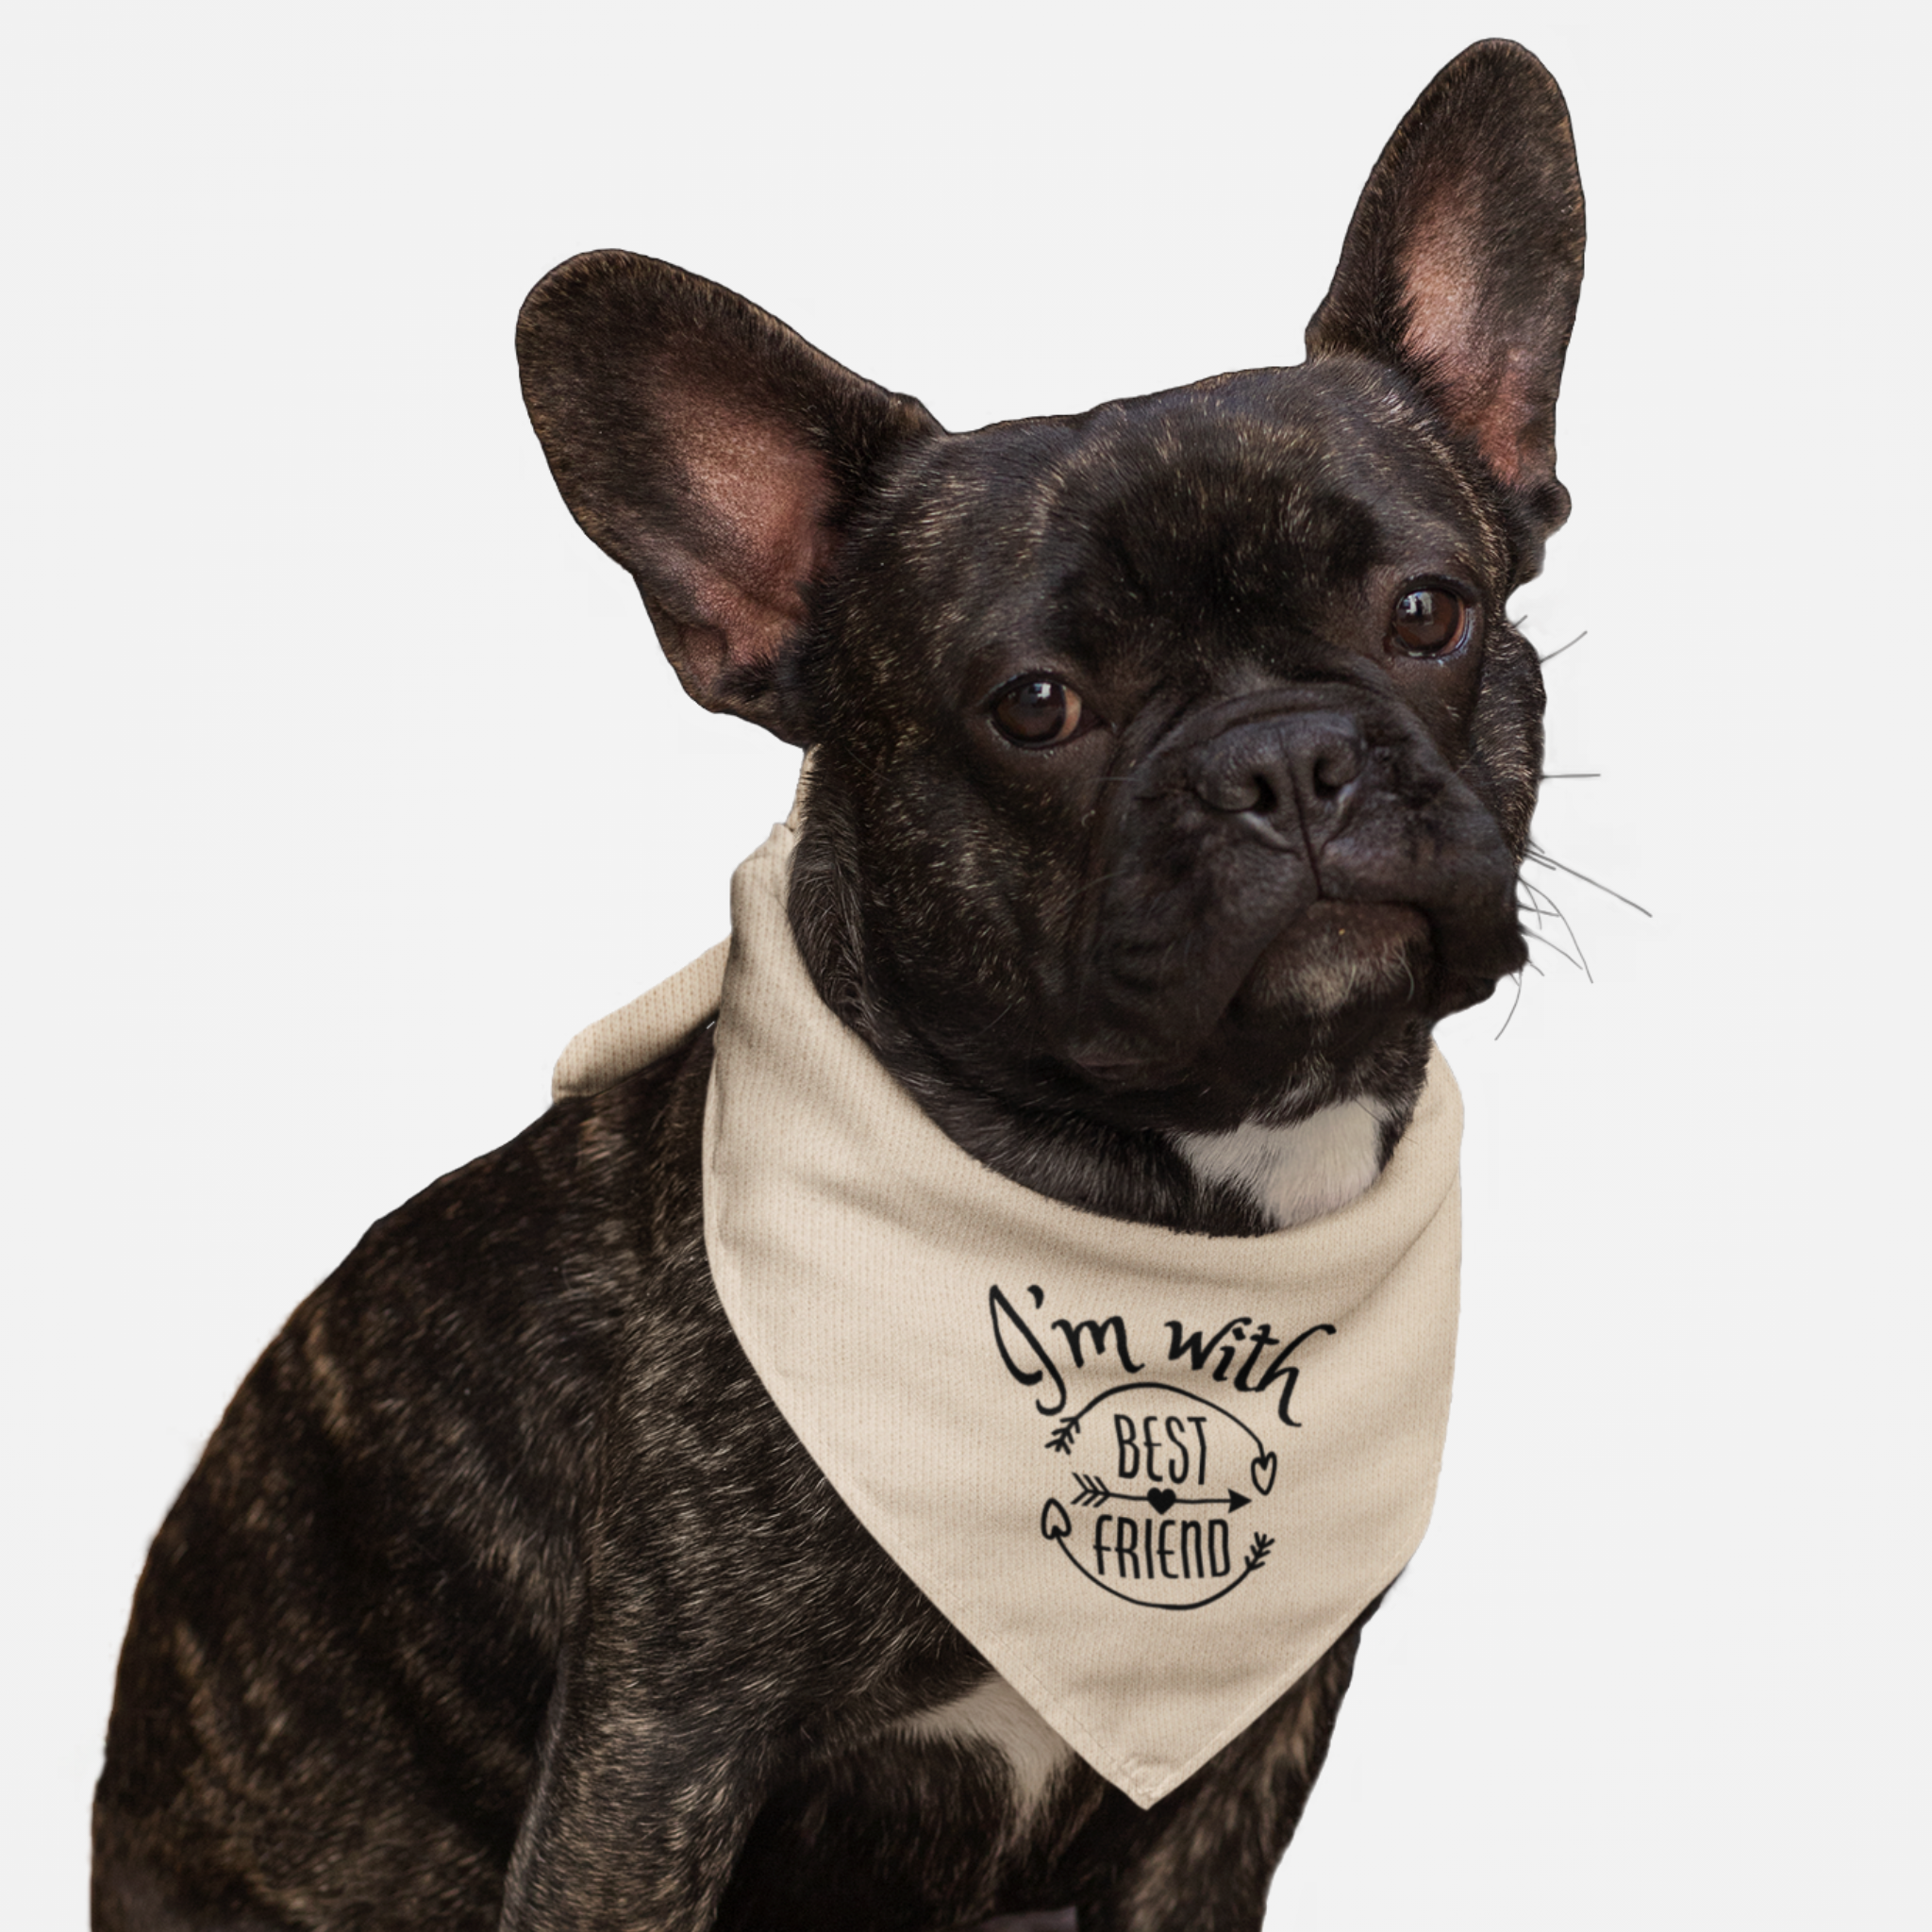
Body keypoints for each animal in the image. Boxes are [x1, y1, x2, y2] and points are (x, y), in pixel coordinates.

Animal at [93, 34, 1584, 1932]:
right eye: (1035, 705)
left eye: (1426, 610)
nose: (1286, 760)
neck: (1165, 1208)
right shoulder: (656, 1750)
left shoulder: (1233, 1770)